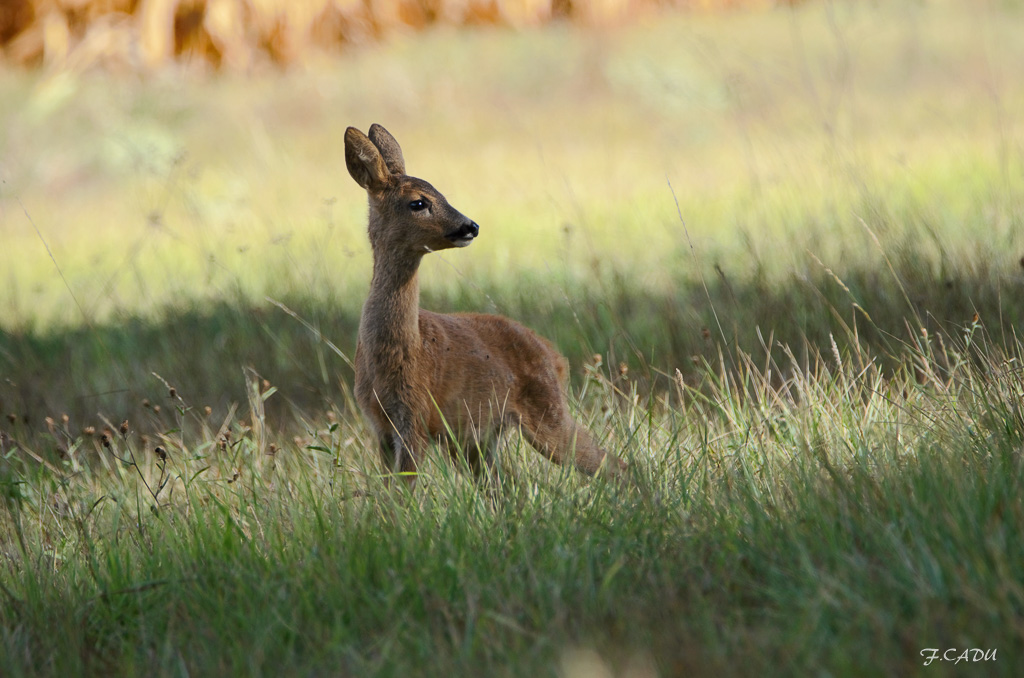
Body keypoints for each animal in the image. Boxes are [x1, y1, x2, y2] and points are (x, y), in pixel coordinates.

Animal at [344, 122, 622, 483]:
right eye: (418, 203)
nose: (470, 226)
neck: (399, 350)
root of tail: (557, 358)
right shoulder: (380, 425)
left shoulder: (416, 415)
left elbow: (404, 490)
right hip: (477, 439)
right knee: (508, 483)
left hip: (545, 414)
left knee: (610, 462)